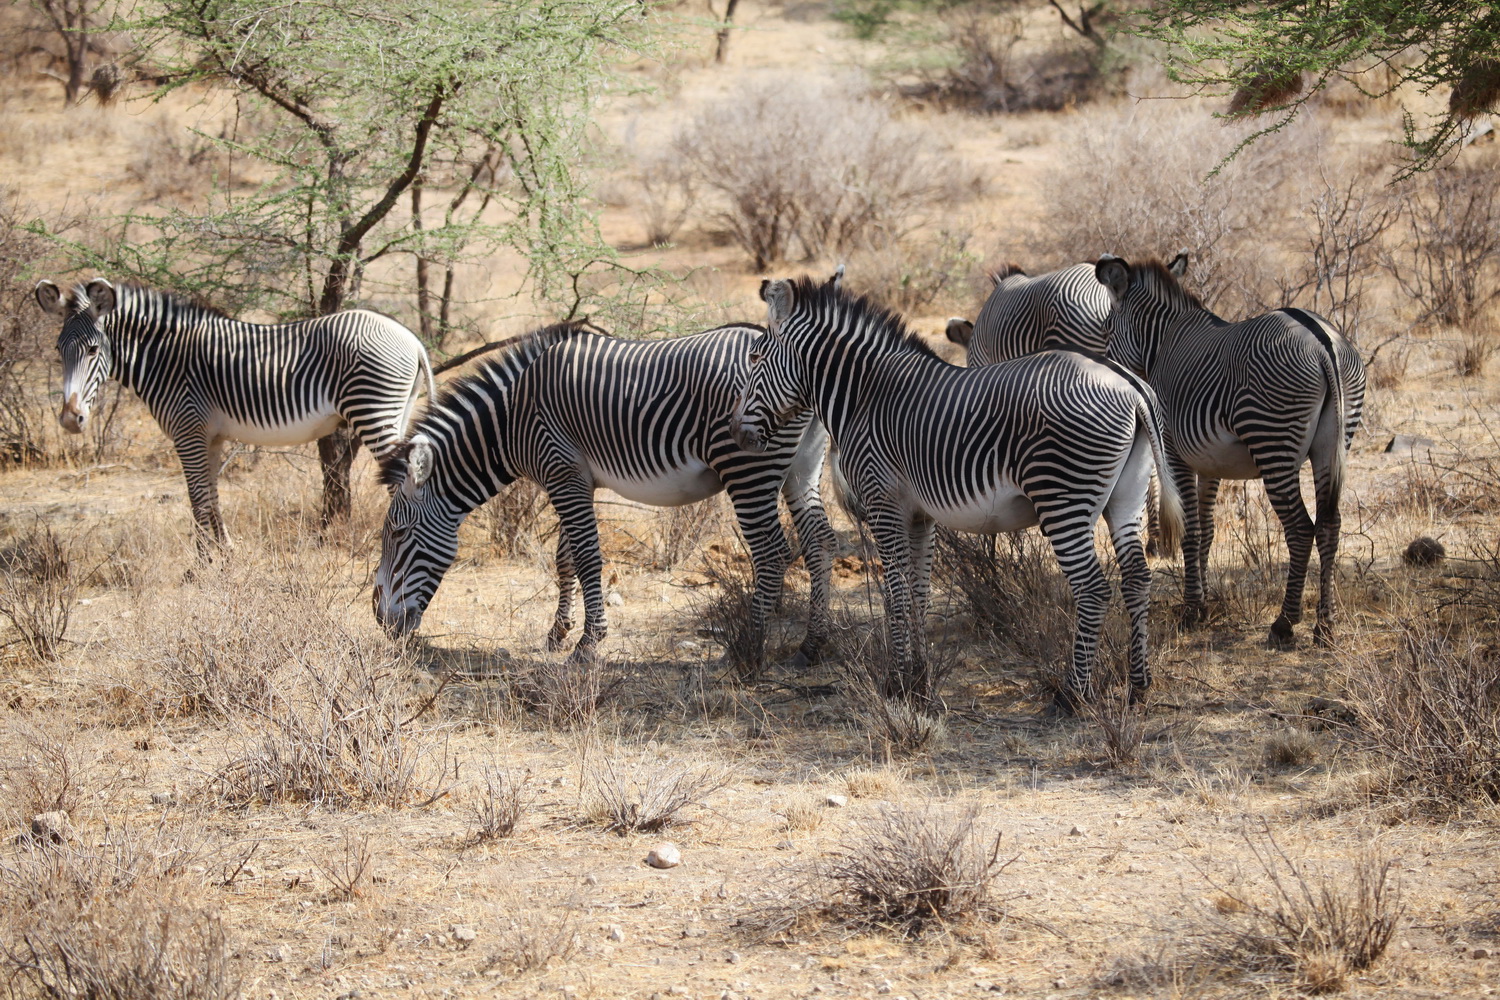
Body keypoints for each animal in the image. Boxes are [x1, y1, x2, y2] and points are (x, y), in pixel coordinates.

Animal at [35, 277, 435, 551]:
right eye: (58, 349)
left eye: (92, 349)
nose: (70, 419)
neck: (166, 360)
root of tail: (411, 338)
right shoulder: (209, 437)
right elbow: (211, 495)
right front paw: (224, 550)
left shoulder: (188, 430)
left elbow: (196, 498)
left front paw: (201, 565)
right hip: (397, 412)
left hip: (373, 411)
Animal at [370, 320, 840, 671]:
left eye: (397, 533)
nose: (379, 618)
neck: (513, 418)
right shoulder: (575, 479)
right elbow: (564, 557)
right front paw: (558, 633)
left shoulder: (562, 472)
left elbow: (586, 556)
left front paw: (588, 644)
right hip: (800, 469)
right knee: (819, 541)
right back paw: (812, 646)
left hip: (747, 468)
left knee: (772, 552)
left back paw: (749, 646)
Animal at [729, 277, 1182, 707]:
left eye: (755, 359)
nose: (737, 435)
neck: (865, 396)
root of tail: (1128, 384)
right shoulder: (919, 515)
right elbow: (918, 593)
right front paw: (919, 679)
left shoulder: (883, 504)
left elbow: (896, 594)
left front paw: (895, 684)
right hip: (1126, 497)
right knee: (1137, 578)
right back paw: (1138, 687)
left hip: (1063, 498)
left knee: (1093, 588)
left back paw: (1070, 696)